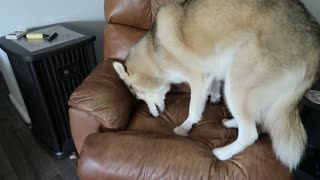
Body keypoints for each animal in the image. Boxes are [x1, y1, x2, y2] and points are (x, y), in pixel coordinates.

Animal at [112, 0, 320, 170]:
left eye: (139, 96)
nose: (154, 115)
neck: (155, 55)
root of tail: (313, 46)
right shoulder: (210, 74)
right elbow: (213, 87)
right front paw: (213, 98)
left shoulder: (197, 79)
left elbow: (193, 109)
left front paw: (185, 127)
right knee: (254, 116)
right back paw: (232, 122)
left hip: (237, 82)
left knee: (250, 133)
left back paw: (223, 153)